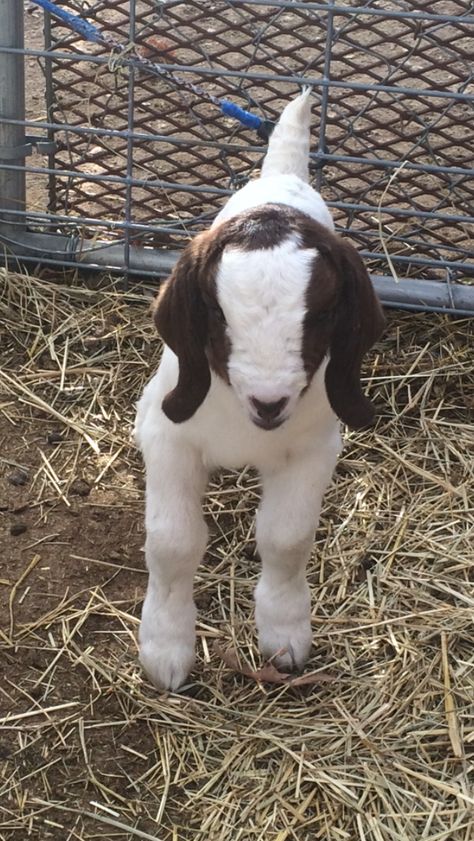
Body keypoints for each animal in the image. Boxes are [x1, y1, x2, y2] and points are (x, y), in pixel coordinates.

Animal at [134, 88, 386, 688]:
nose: (269, 403)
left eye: (322, 315)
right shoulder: (169, 436)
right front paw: (166, 648)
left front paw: (284, 634)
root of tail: (281, 181)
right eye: (217, 313)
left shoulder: (315, 448)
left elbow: (286, 538)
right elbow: (173, 543)